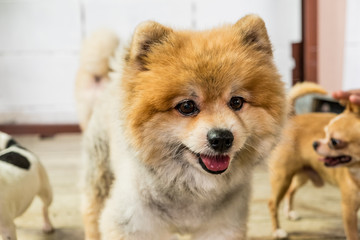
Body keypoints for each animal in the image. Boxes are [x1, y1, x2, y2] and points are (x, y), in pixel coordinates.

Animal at [81, 15, 286, 240]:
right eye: (187, 106)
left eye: (236, 102)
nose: (222, 138)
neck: (190, 190)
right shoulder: (131, 224)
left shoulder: (221, 227)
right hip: (99, 169)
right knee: (91, 211)